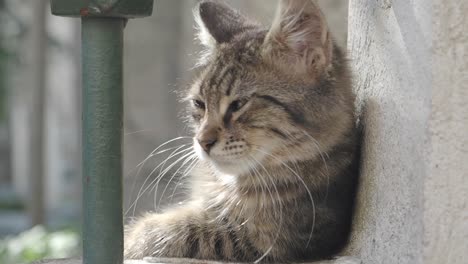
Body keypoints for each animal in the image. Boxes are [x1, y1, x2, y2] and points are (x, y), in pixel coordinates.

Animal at [123, 0, 358, 262]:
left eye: (238, 104)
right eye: (199, 104)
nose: (202, 141)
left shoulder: (266, 243)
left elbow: (169, 231)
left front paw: (131, 240)